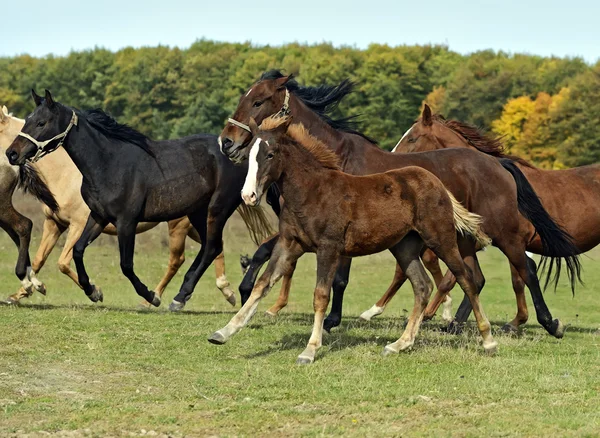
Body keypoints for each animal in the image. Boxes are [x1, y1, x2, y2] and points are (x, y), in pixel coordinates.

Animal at [209, 115, 494, 362]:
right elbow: (262, 284)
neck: (312, 192)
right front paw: (223, 332)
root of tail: (437, 183)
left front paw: (310, 350)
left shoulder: (328, 248)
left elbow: (321, 295)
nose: (248, 196)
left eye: (270, 154)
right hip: (404, 247)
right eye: (249, 155)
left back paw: (488, 339)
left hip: (441, 239)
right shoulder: (289, 244)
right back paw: (400, 343)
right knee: (422, 286)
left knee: (465, 278)